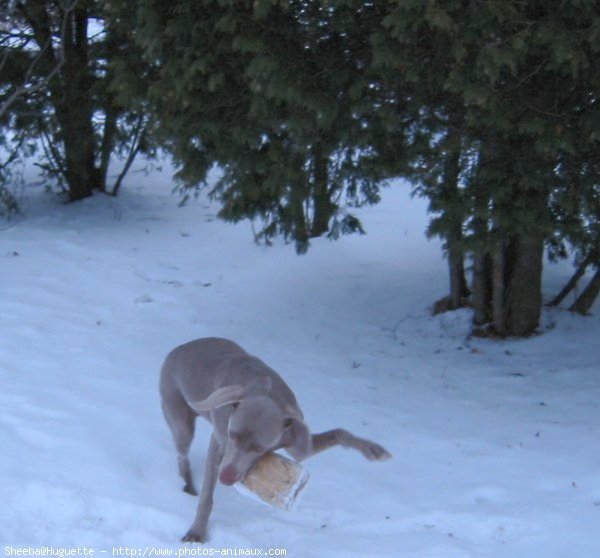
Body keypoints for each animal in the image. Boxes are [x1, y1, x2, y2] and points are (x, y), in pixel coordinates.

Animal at [161, 340, 394, 544]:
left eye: (259, 448)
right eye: (232, 434)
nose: (226, 478)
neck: (268, 390)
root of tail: (180, 348)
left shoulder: (296, 437)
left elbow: (338, 433)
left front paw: (374, 450)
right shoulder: (219, 441)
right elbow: (207, 496)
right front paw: (197, 532)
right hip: (179, 416)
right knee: (182, 454)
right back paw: (189, 485)